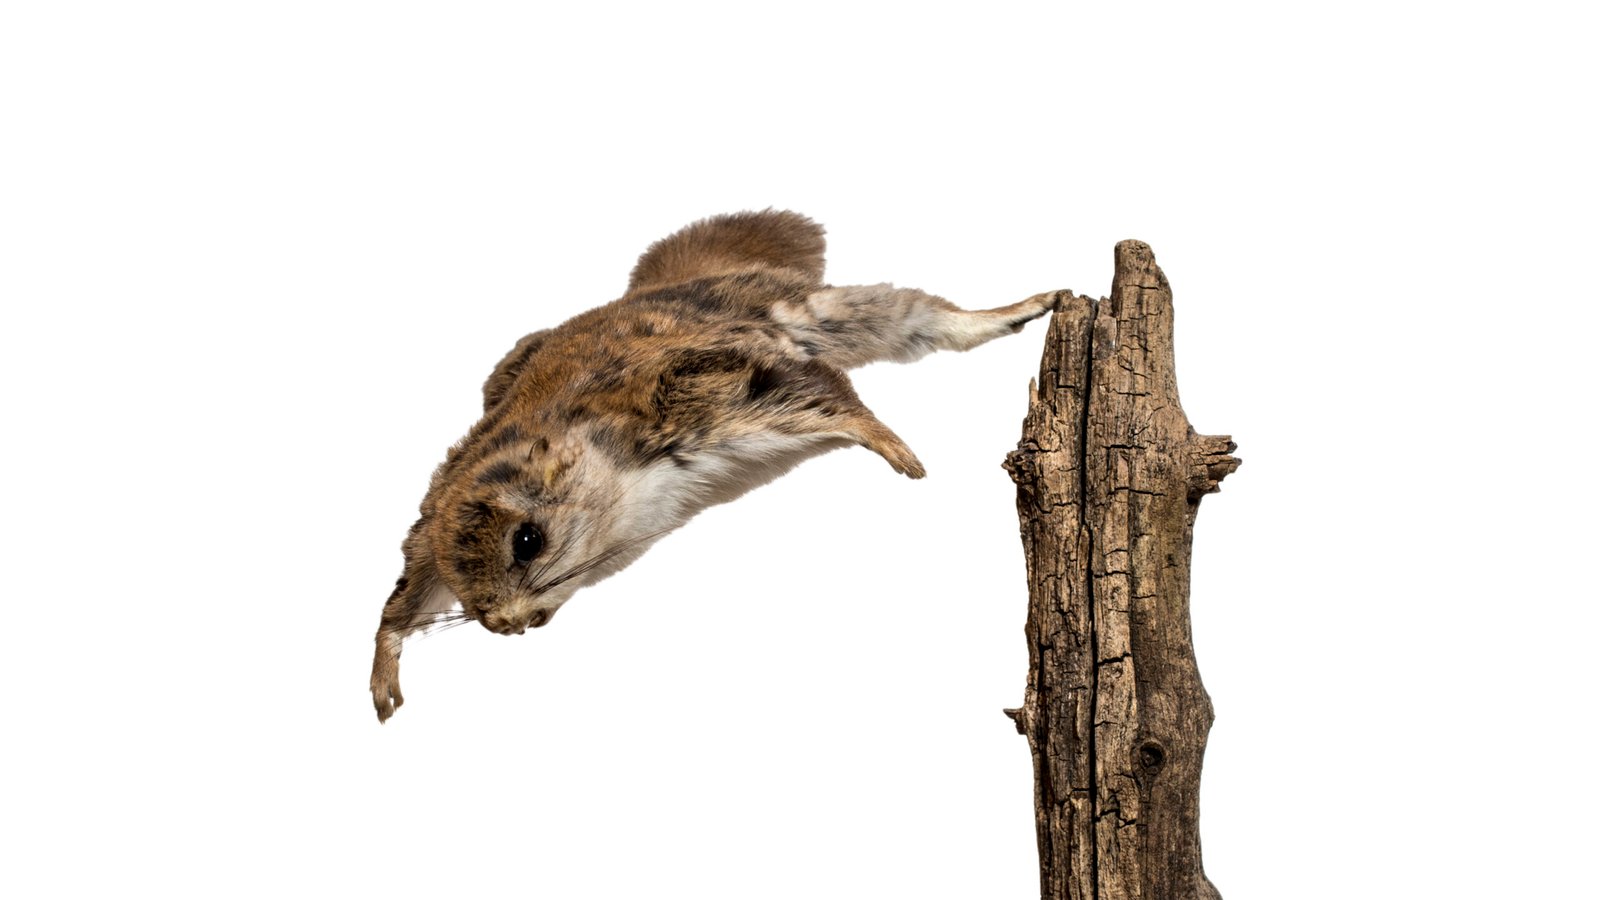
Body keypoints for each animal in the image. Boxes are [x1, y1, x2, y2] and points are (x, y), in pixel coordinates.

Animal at [370, 210, 1057, 722]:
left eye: (528, 540)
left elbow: (834, 401)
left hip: (817, 310)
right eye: (462, 592)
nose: (502, 625)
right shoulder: (429, 527)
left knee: (926, 317)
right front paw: (384, 673)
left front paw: (894, 448)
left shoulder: (710, 389)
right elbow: (403, 596)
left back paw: (1023, 306)